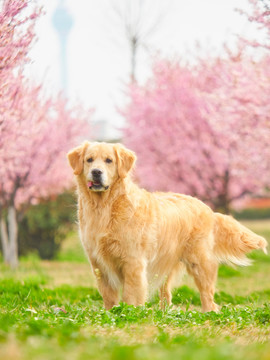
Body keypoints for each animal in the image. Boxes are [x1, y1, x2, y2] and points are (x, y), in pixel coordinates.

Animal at [67, 141, 268, 312]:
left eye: (109, 160)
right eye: (89, 160)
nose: (96, 172)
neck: (105, 207)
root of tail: (209, 209)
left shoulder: (133, 261)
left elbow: (131, 295)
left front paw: (130, 313)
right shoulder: (98, 264)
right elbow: (109, 297)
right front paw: (111, 313)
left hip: (200, 263)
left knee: (208, 295)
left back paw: (208, 313)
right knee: (167, 295)